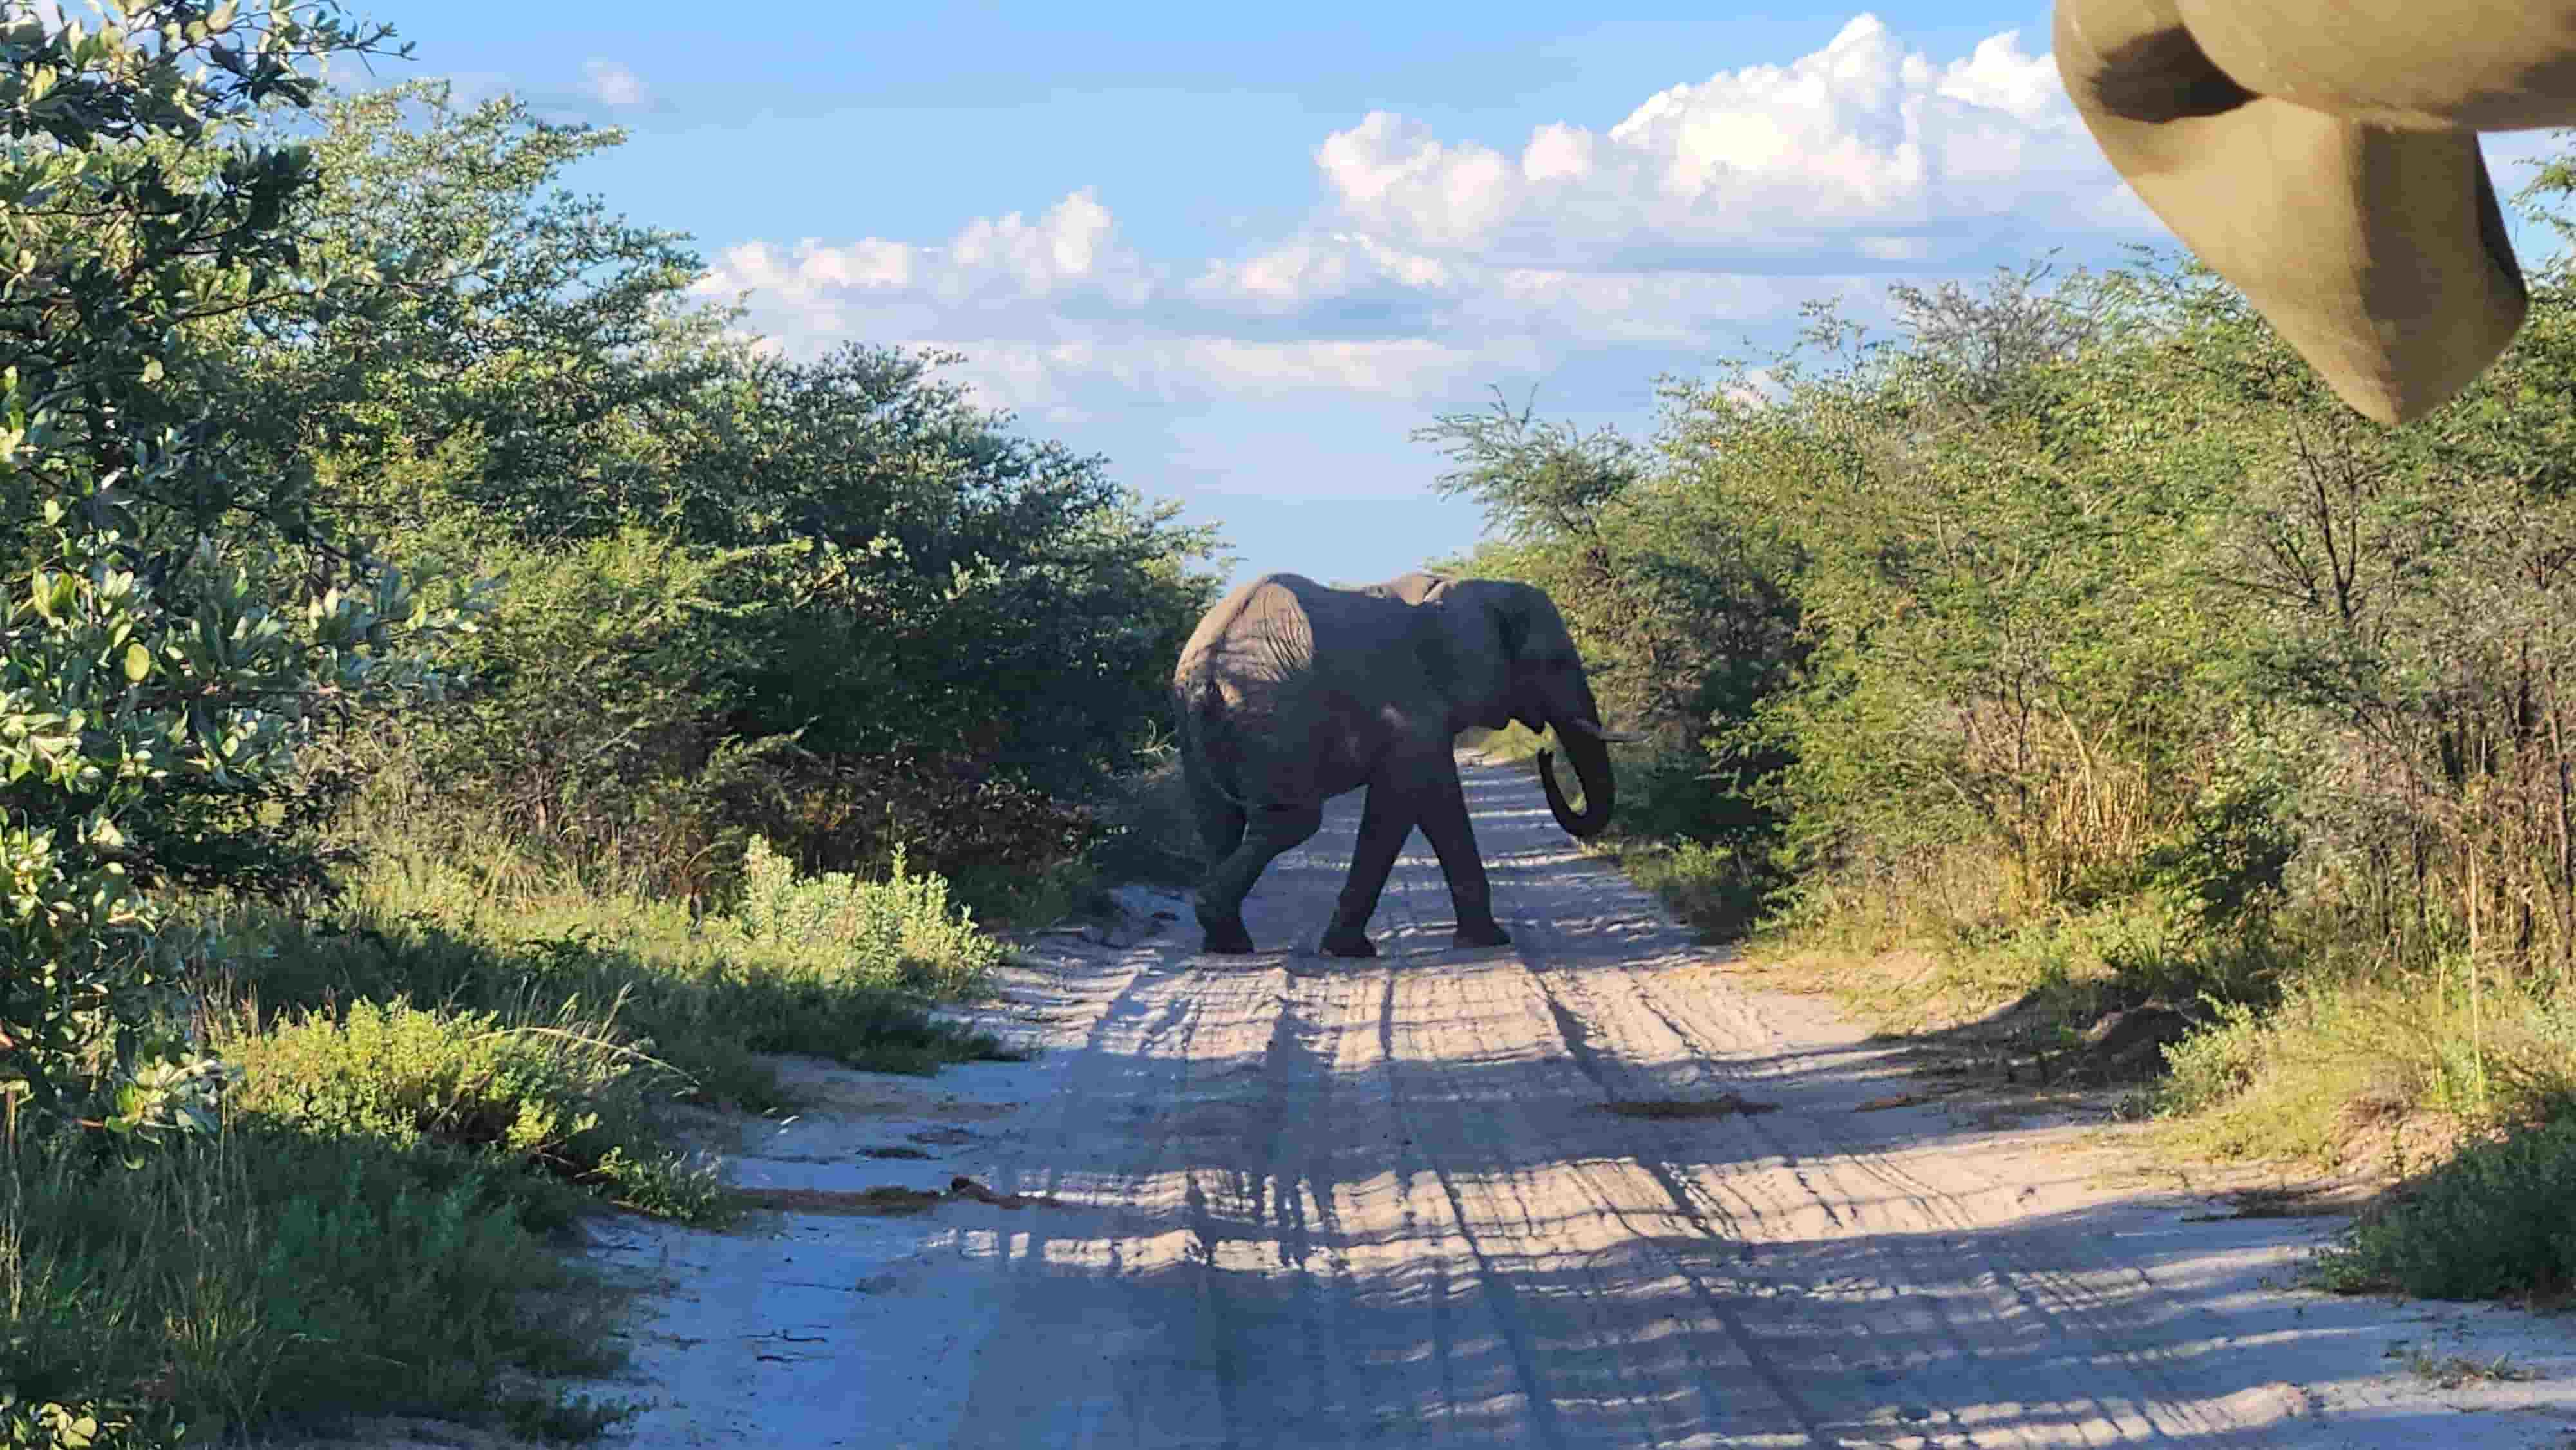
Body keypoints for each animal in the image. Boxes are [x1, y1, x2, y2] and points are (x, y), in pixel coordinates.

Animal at [1170, 570, 1637, 958]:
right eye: (1553, 662)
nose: (1545, 753)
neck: (1469, 590)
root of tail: (1208, 664)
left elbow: (1431, 805)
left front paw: (1481, 939)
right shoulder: (1409, 702)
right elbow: (1409, 801)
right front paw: (1351, 950)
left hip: (1196, 722)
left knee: (1217, 820)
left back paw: (1226, 942)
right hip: (1276, 713)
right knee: (1291, 822)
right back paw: (1217, 920)